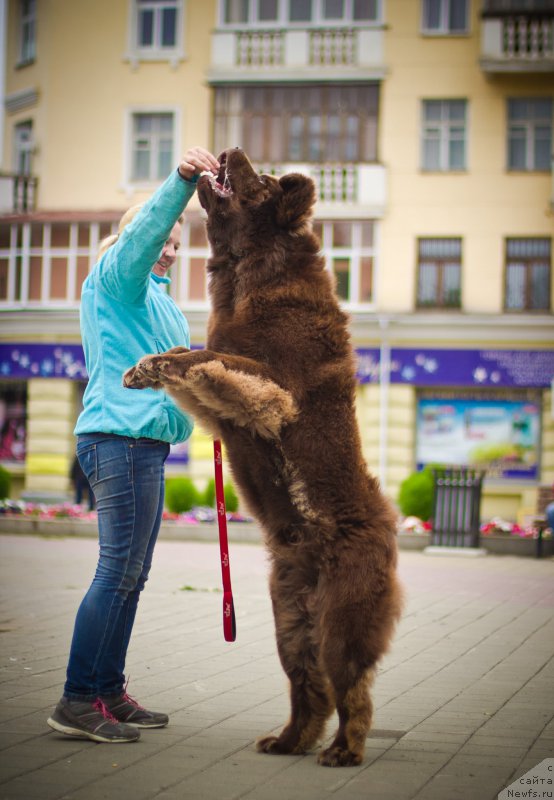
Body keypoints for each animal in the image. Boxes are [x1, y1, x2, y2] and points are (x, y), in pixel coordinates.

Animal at [123, 147, 402, 764]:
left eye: (263, 180)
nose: (227, 153)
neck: (250, 269)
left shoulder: (278, 388)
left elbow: (205, 356)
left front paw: (154, 364)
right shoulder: (230, 399)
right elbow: (194, 354)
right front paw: (144, 367)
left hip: (342, 617)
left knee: (354, 690)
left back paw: (343, 750)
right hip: (289, 618)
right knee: (309, 687)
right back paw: (288, 740)